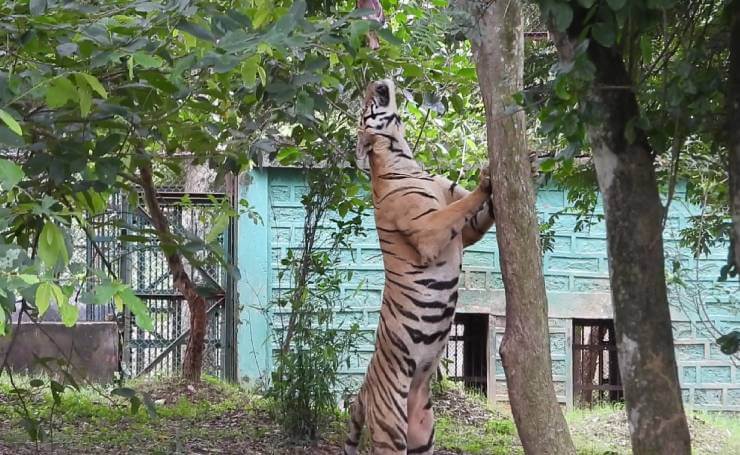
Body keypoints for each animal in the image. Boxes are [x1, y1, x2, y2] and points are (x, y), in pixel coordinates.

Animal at [342, 79, 494, 455]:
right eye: (366, 106)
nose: (375, 82)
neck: (405, 156)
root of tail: (363, 390)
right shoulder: (429, 230)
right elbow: (462, 207)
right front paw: (485, 180)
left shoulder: (467, 232)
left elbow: (479, 213)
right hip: (391, 429)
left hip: (423, 430)